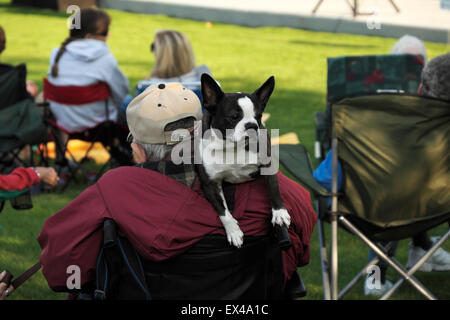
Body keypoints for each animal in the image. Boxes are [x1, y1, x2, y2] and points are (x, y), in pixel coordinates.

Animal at [198, 74, 292, 248]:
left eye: (259, 117)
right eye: (234, 117)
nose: (252, 125)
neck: (232, 147)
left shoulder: (268, 165)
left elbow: (274, 189)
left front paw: (279, 213)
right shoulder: (210, 184)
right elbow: (223, 211)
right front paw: (233, 232)